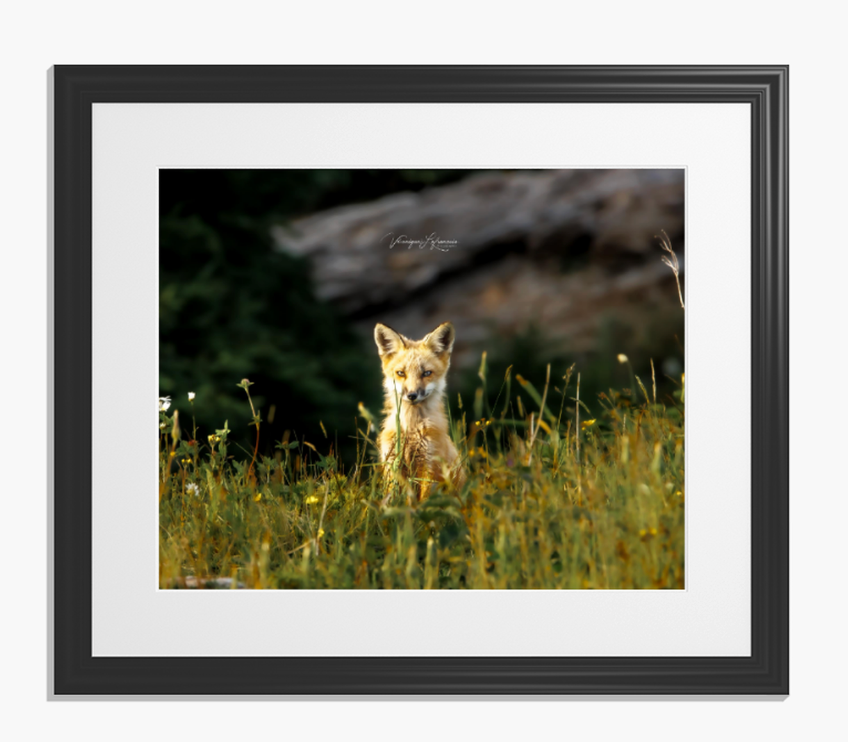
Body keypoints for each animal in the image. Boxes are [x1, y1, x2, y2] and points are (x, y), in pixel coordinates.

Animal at [374, 321, 466, 502]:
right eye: (401, 373)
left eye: (426, 373)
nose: (412, 395)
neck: (410, 430)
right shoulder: (392, 464)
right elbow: (393, 501)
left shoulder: (429, 466)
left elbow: (423, 502)